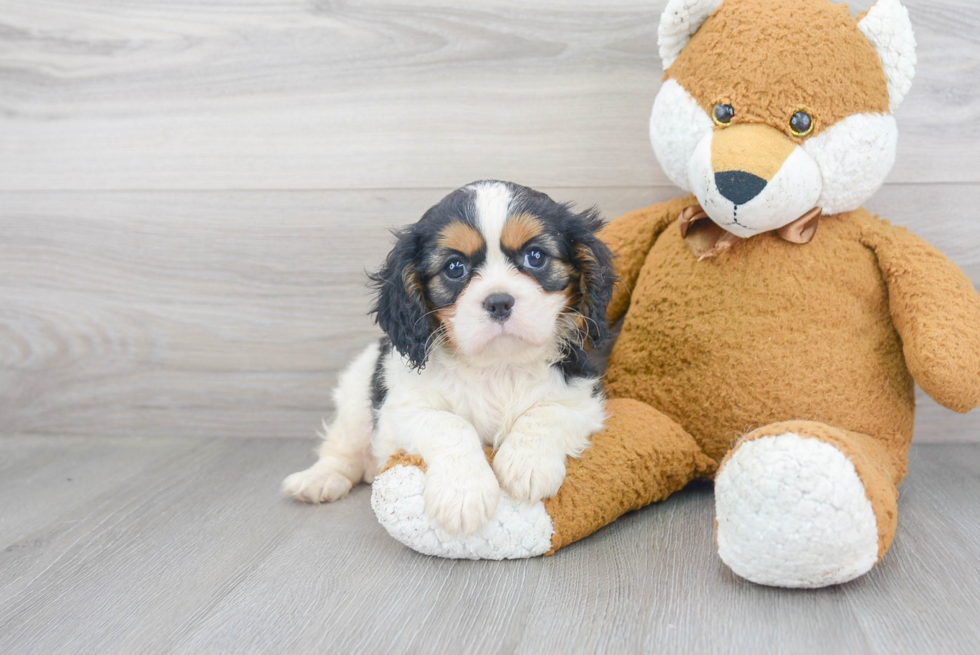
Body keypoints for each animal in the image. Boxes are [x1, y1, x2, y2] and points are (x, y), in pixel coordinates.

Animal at [280, 181, 612, 540]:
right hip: (357, 394)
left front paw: (527, 464)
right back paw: (320, 479)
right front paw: (463, 494)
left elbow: (545, 413)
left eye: (535, 256)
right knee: (342, 449)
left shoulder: (582, 398)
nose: (499, 302)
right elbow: (450, 424)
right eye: (455, 267)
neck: (497, 364)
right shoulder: (402, 410)